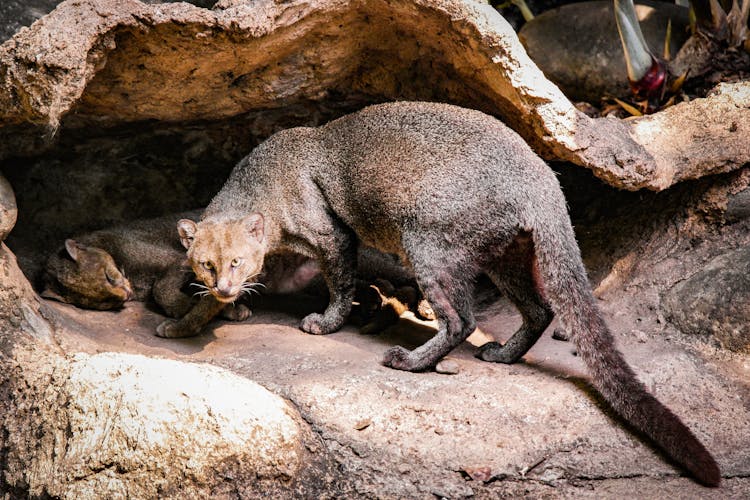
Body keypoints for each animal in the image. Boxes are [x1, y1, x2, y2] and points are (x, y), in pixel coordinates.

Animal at [173, 100, 720, 484]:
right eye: (206, 264)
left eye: (236, 261)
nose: (224, 286)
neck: (267, 181)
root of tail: (544, 179)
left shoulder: (334, 236)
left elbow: (341, 283)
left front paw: (324, 321)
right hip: (505, 256)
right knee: (539, 310)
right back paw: (501, 355)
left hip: (427, 242)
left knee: (462, 319)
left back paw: (411, 361)